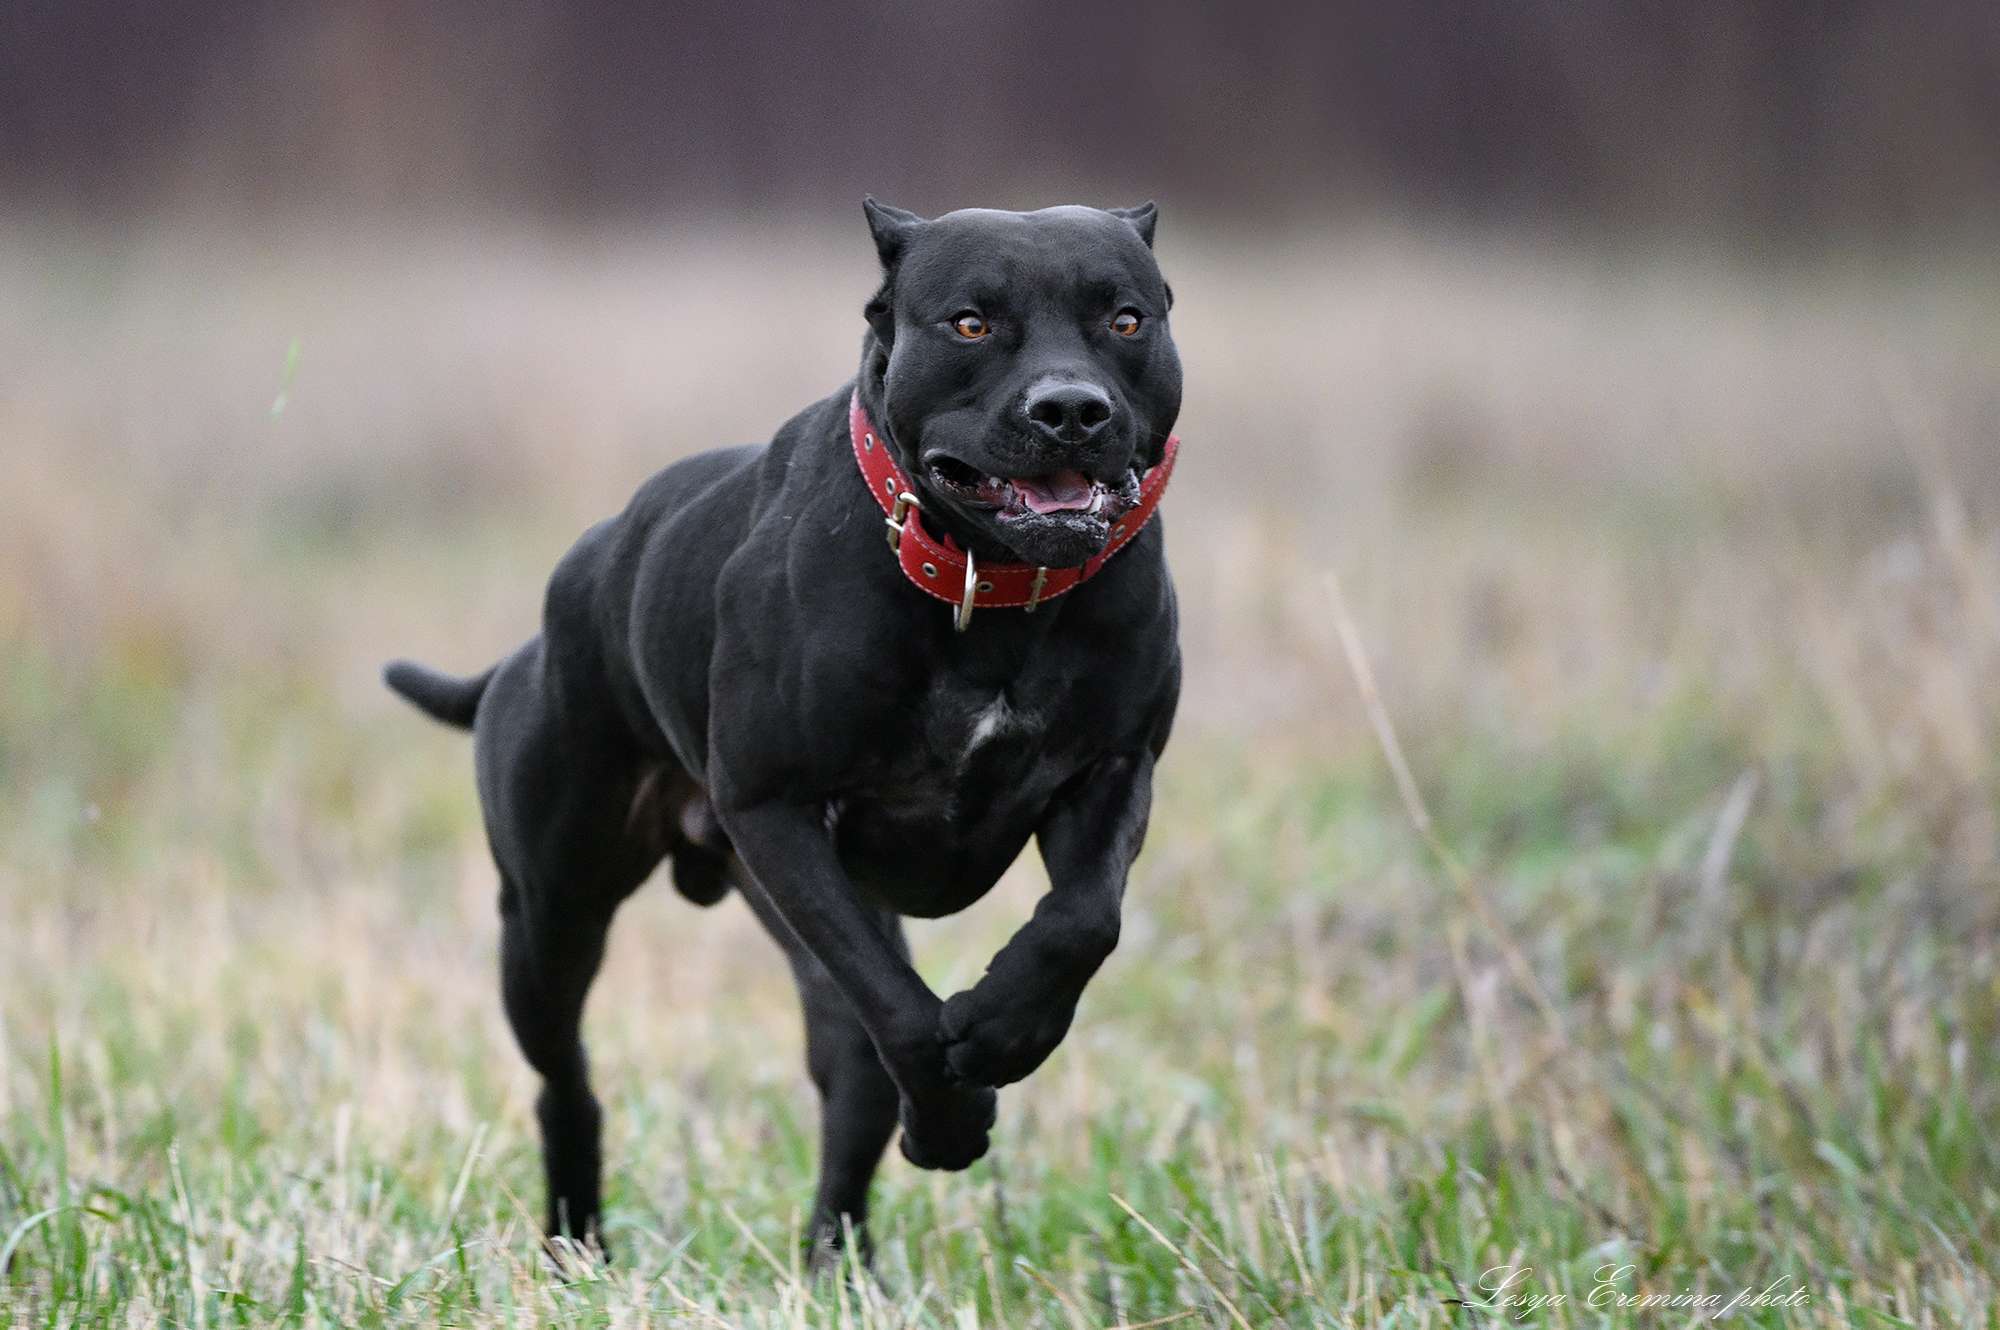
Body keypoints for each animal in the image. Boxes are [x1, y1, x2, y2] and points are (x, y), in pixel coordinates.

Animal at [382, 197, 1176, 1256]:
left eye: (1125, 319)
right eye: (970, 323)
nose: (1071, 408)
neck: (990, 588)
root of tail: (541, 628)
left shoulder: (1114, 773)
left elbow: (1083, 921)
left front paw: (1003, 1033)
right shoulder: (778, 811)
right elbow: (903, 1009)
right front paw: (954, 1114)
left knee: (851, 1068)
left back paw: (839, 1260)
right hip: (551, 918)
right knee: (569, 1079)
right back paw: (578, 1240)